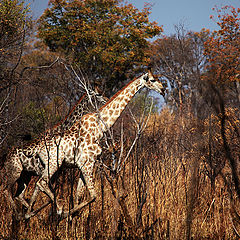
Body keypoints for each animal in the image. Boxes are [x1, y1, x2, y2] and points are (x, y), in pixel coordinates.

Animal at [2, 89, 107, 218]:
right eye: (98, 94)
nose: (107, 100)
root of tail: (5, 157)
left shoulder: (53, 172)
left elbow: (41, 193)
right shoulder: (47, 170)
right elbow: (43, 191)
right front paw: (61, 211)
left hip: (25, 176)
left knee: (19, 195)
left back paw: (31, 214)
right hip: (14, 172)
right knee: (6, 190)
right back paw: (19, 214)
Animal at [24, 70, 166, 219]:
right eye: (152, 80)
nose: (163, 90)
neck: (99, 129)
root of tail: (38, 150)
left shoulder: (83, 165)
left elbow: (78, 196)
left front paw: (71, 218)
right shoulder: (87, 163)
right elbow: (93, 196)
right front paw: (66, 214)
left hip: (49, 165)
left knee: (38, 185)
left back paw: (30, 213)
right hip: (54, 163)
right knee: (41, 182)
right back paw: (57, 209)